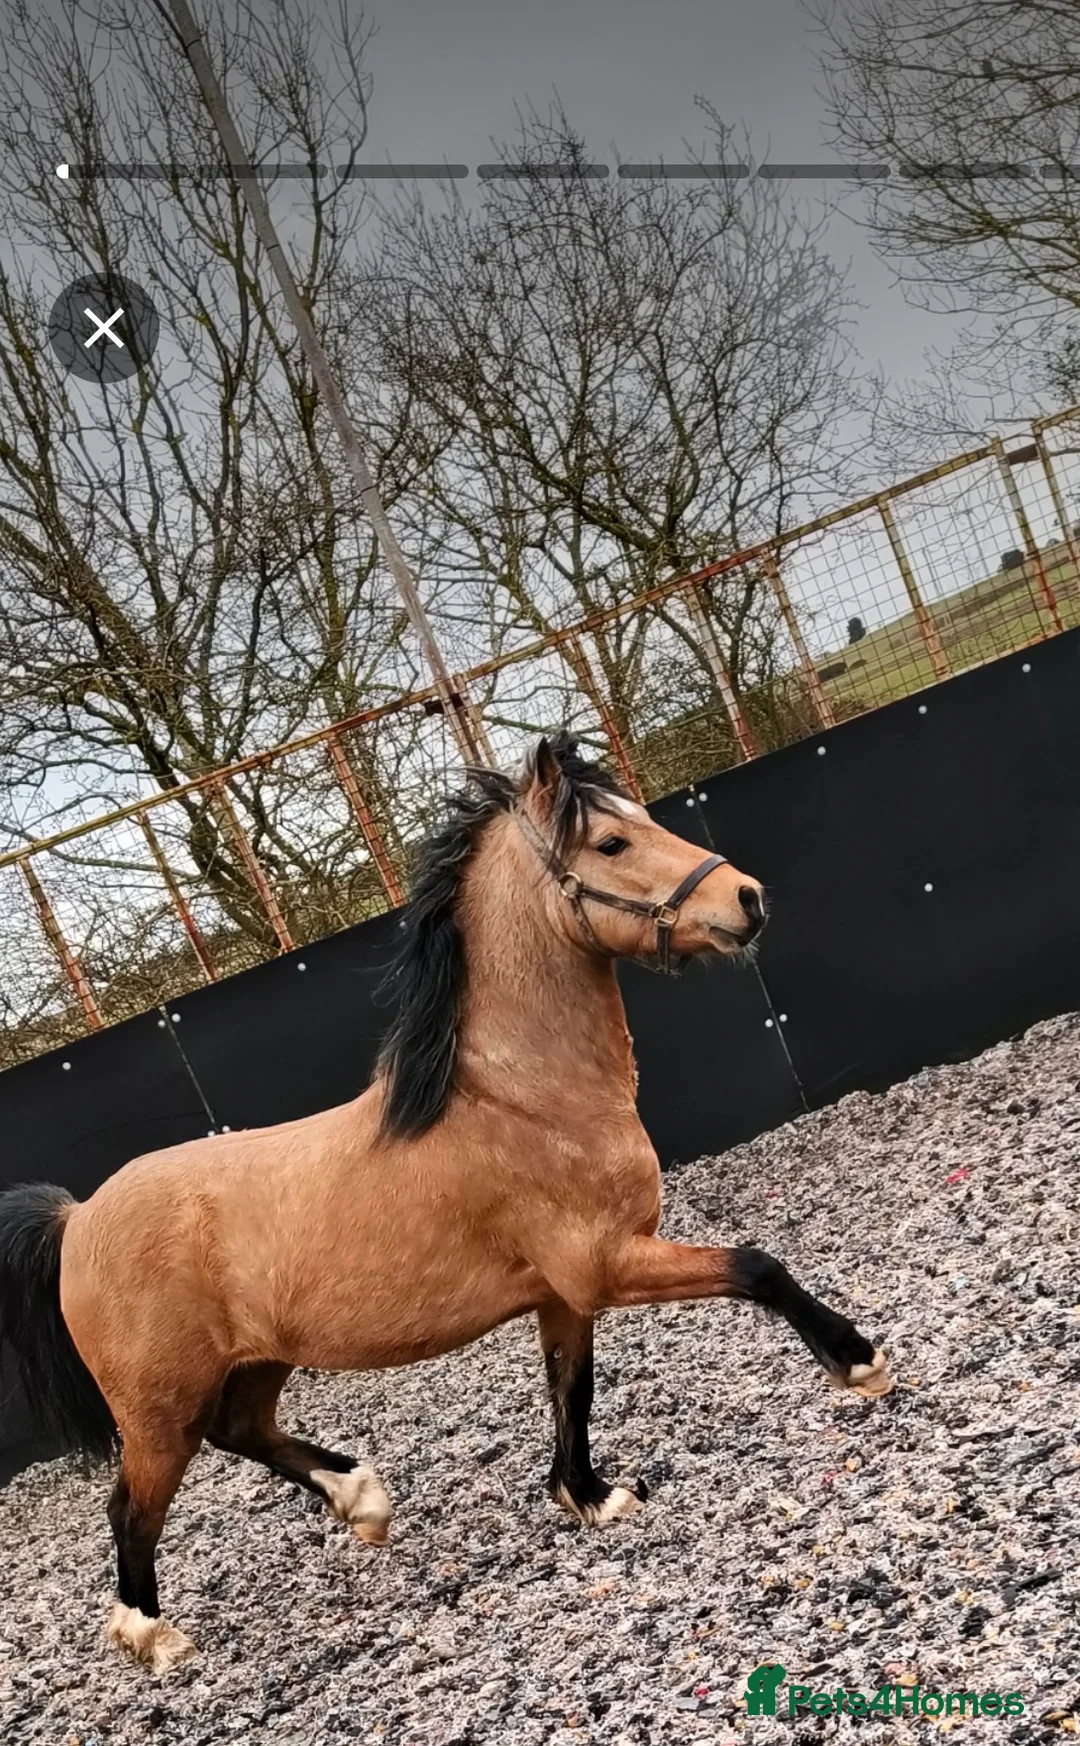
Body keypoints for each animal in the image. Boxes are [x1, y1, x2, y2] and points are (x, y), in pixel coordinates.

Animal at [0, 732, 892, 1673]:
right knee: (132, 1507)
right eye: (610, 843)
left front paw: (591, 1496)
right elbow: (757, 1267)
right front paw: (860, 1362)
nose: (746, 899)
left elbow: (571, 1389)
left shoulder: (565, 1295)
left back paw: (361, 1499)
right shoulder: (609, 1265)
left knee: (242, 1430)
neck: (522, 1098)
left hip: (255, 1361)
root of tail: (76, 1219)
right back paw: (152, 1632)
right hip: (157, 1410)